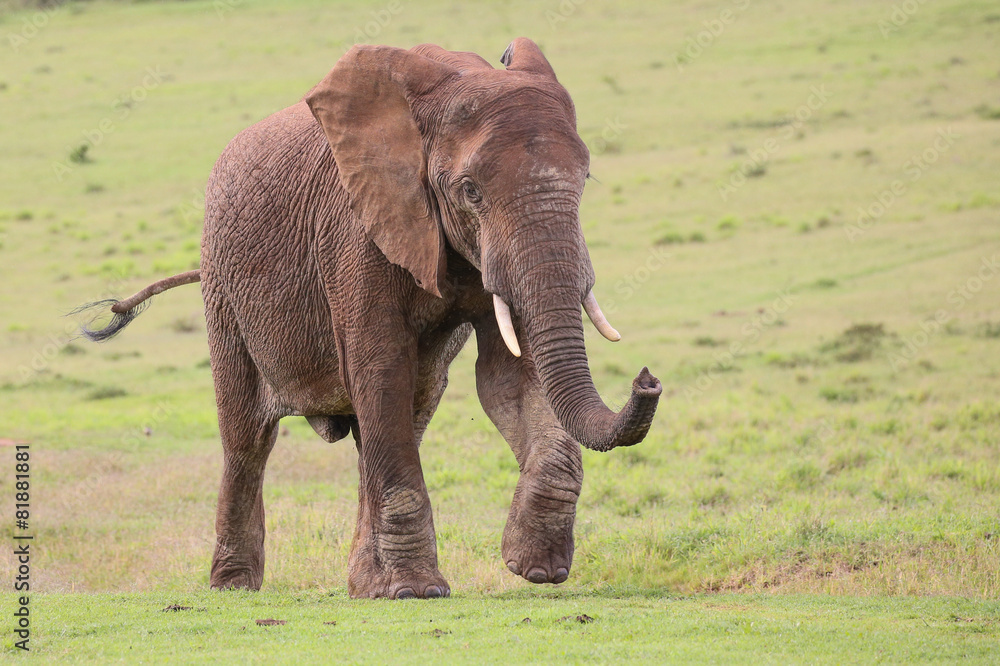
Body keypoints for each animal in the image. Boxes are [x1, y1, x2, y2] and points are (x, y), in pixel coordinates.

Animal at [77, 38, 662, 599]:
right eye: (470, 190)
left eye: (586, 178)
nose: (648, 379)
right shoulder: (356, 232)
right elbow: (381, 371)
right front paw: (418, 591)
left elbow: (508, 379)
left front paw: (535, 571)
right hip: (223, 287)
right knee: (247, 438)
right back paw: (236, 588)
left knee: (405, 415)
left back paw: (364, 588)